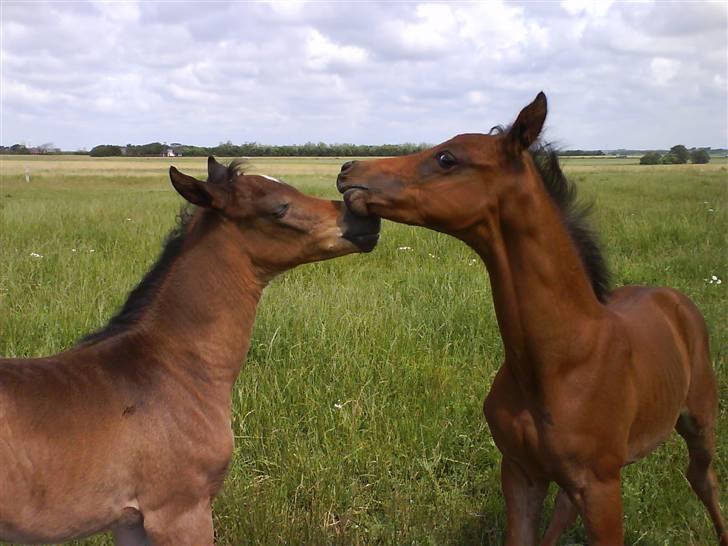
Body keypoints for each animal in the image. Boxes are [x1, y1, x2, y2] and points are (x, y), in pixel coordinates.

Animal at [336, 91, 724, 540]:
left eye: (447, 158)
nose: (347, 170)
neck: (560, 359)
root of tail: (674, 299)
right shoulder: (520, 473)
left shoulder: (602, 486)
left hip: (699, 422)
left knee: (703, 479)